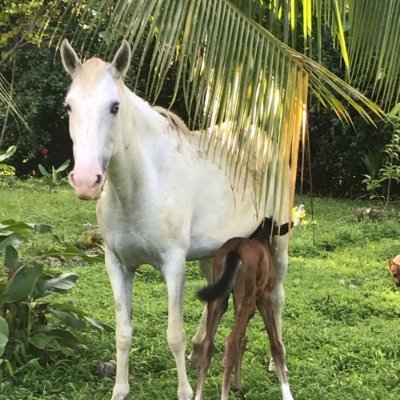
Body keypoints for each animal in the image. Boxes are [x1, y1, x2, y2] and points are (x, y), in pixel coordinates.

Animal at [60, 38, 290, 400]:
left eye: (115, 107)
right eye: (69, 106)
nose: (86, 181)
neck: (140, 187)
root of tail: (260, 136)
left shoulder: (173, 263)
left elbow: (174, 334)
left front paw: (184, 390)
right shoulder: (117, 264)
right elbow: (123, 332)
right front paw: (120, 389)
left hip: (279, 242)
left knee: (277, 296)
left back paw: (273, 361)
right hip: (217, 253)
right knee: (215, 297)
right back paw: (200, 350)